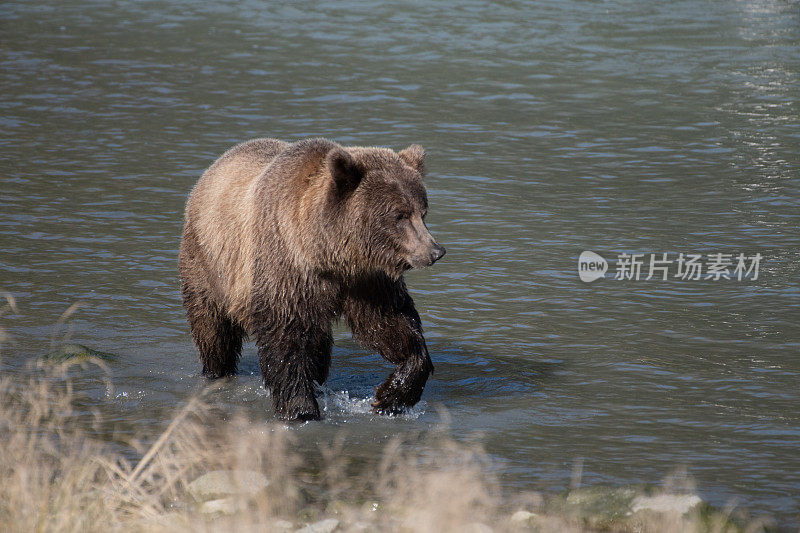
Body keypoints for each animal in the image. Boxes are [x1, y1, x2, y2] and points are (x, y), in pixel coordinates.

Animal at [177, 137, 446, 420]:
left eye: (422, 212)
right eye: (399, 215)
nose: (435, 251)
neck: (328, 255)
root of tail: (213, 168)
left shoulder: (366, 280)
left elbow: (390, 322)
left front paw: (391, 396)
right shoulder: (288, 266)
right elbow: (286, 337)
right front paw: (301, 409)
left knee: (318, 343)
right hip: (209, 264)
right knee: (213, 329)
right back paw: (216, 370)